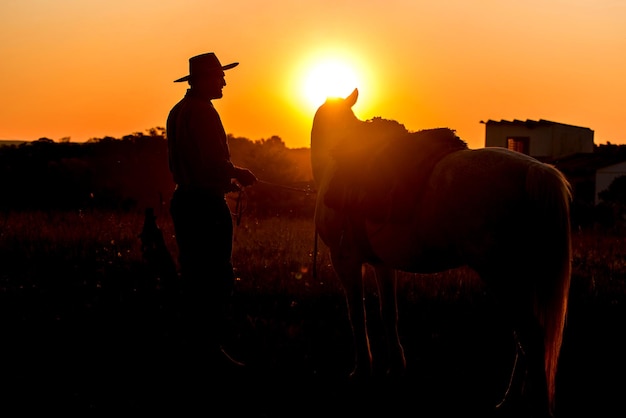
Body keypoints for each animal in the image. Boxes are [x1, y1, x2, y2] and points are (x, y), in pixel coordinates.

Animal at [308, 89, 572, 418]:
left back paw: (523, 404)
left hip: (502, 275)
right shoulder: (383, 264)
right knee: (527, 338)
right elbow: (388, 313)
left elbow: (357, 314)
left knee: (530, 336)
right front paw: (395, 367)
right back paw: (513, 400)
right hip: (521, 276)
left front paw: (362, 371)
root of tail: (535, 170)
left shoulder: (346, 260)